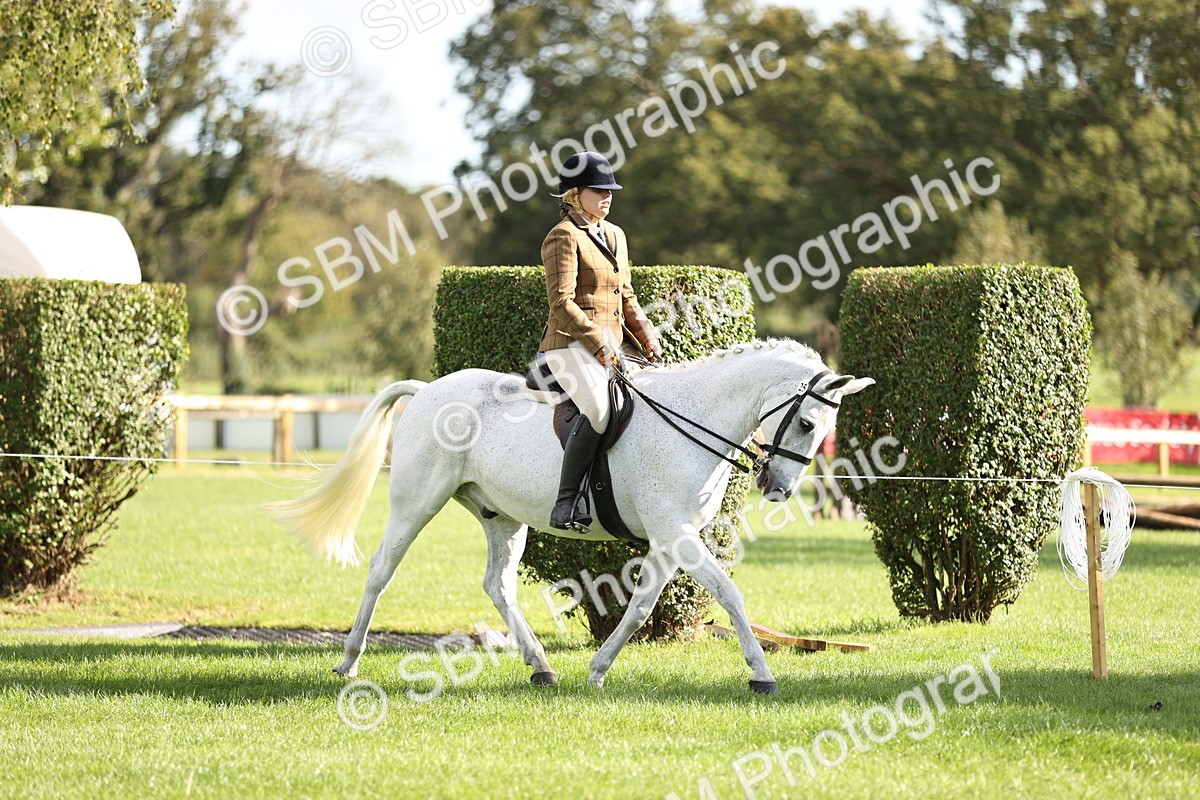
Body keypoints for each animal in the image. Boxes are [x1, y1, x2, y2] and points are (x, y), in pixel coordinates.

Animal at [265, 339, 873, 694]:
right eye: (806, 423)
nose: (779, 489)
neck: (692, 418)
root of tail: (429, 388)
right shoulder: (677, 534)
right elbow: (729, 594)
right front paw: (762, 675)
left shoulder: (670, 539)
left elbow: (642, 605)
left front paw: (599, 669)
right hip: (417, 503)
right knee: (380, 571)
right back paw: (348, 662)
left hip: (500, 516)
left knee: (497, 584)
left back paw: (541, 666)